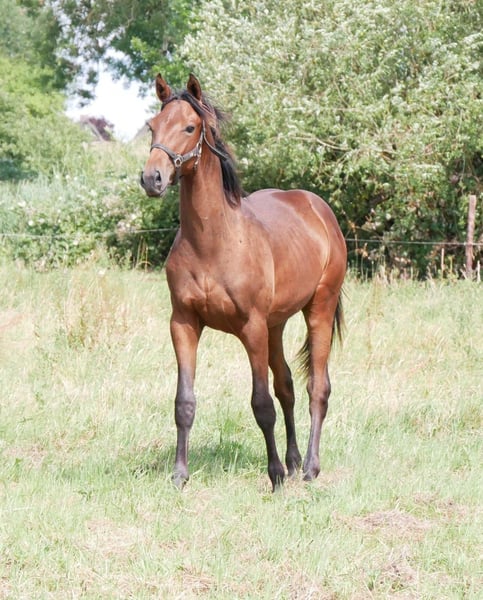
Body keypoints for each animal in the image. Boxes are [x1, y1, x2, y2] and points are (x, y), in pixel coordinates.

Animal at [141, 74, 347, 491]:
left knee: (317, 388)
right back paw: (295, 460)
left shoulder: (251, 328)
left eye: (190, 127)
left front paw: (275, 476)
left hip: (318, 308)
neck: (213, 243)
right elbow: (184, 402)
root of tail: (318, 209)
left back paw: (309, 468)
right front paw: (180, 475)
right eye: (152, 126)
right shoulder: (183, 324)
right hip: (276, 326)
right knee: (287, 387)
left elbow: (261, 404)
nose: (152, 178)